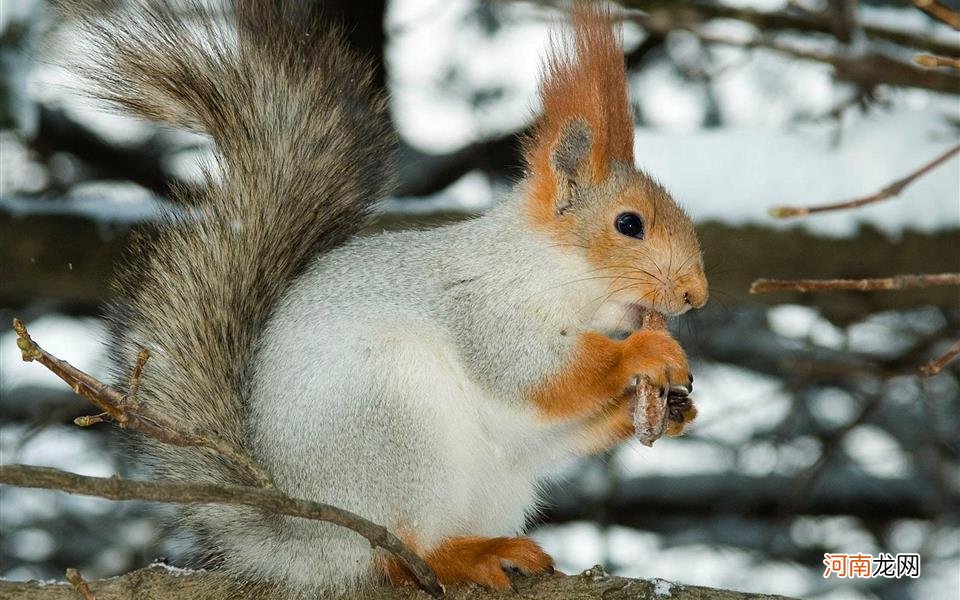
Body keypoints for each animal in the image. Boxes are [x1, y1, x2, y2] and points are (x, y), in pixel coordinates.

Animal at [67, 0, 704, 592]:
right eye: (628, 224)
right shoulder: (483, 310)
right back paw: (459, 557)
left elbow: (551, 431)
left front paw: (669, 409)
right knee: (396, 554)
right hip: (391, 416)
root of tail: (305, 541)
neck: (549, 269)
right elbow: (535, 373)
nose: (696, 295)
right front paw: (645, 354)